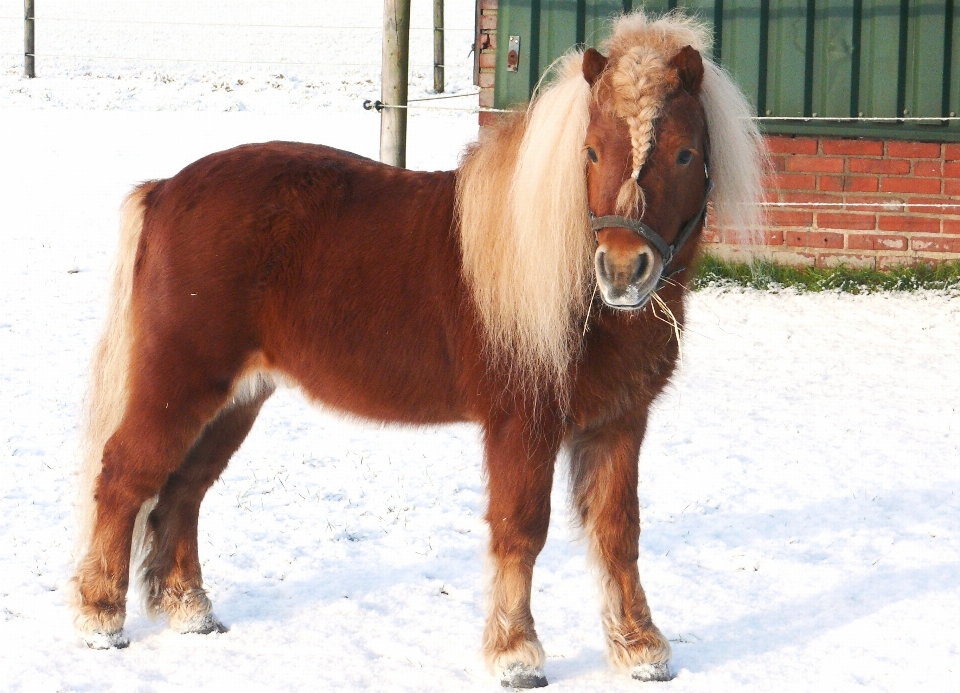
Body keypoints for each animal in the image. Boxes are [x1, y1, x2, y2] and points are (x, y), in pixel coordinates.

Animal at [69, 12, 764, 688]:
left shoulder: (619, 424)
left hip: (235, 400)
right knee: (124, 475)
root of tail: (165, 190)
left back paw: (190, 610)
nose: (622, 271)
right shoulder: (523, 424)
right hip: (180, 382)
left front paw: (640, 650)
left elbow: (619, 534)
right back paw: (100, 618)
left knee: (184, 490)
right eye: (590, 151)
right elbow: (520, 529)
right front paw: (516, 655)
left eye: (684, 153)